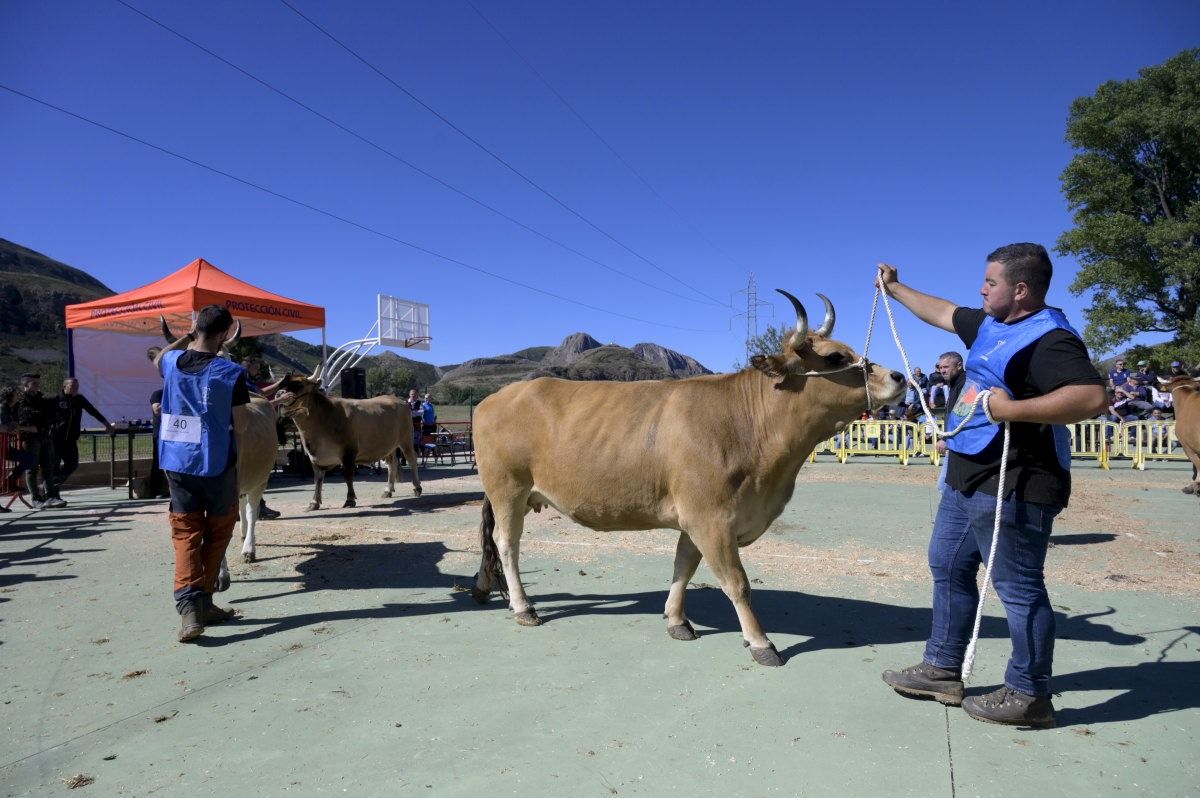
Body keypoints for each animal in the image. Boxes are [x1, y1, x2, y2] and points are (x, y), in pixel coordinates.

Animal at [274, 367, 424, 511]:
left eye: (299, 384)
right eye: (282, 384)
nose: (279, 394)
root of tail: (397, 399)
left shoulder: (348, 452)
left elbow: (348, 476)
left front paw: (350, 499)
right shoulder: (314, 456)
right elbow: (317, 479)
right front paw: (314, 502)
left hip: (406, 439)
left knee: (412, 459)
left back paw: (417, 487)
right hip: (389, 445)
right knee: (392, 464)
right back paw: (388, 490)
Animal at [472, 289, 902, 662]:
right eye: (834, 358)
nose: (898, 377)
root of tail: (498, 396)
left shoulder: (696, 518)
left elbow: (683, 567)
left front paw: (677, 620)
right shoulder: (710, 519)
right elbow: (737, 583)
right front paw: (761, 642)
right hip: (508, 489)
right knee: (507, 544)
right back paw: (523, 607)